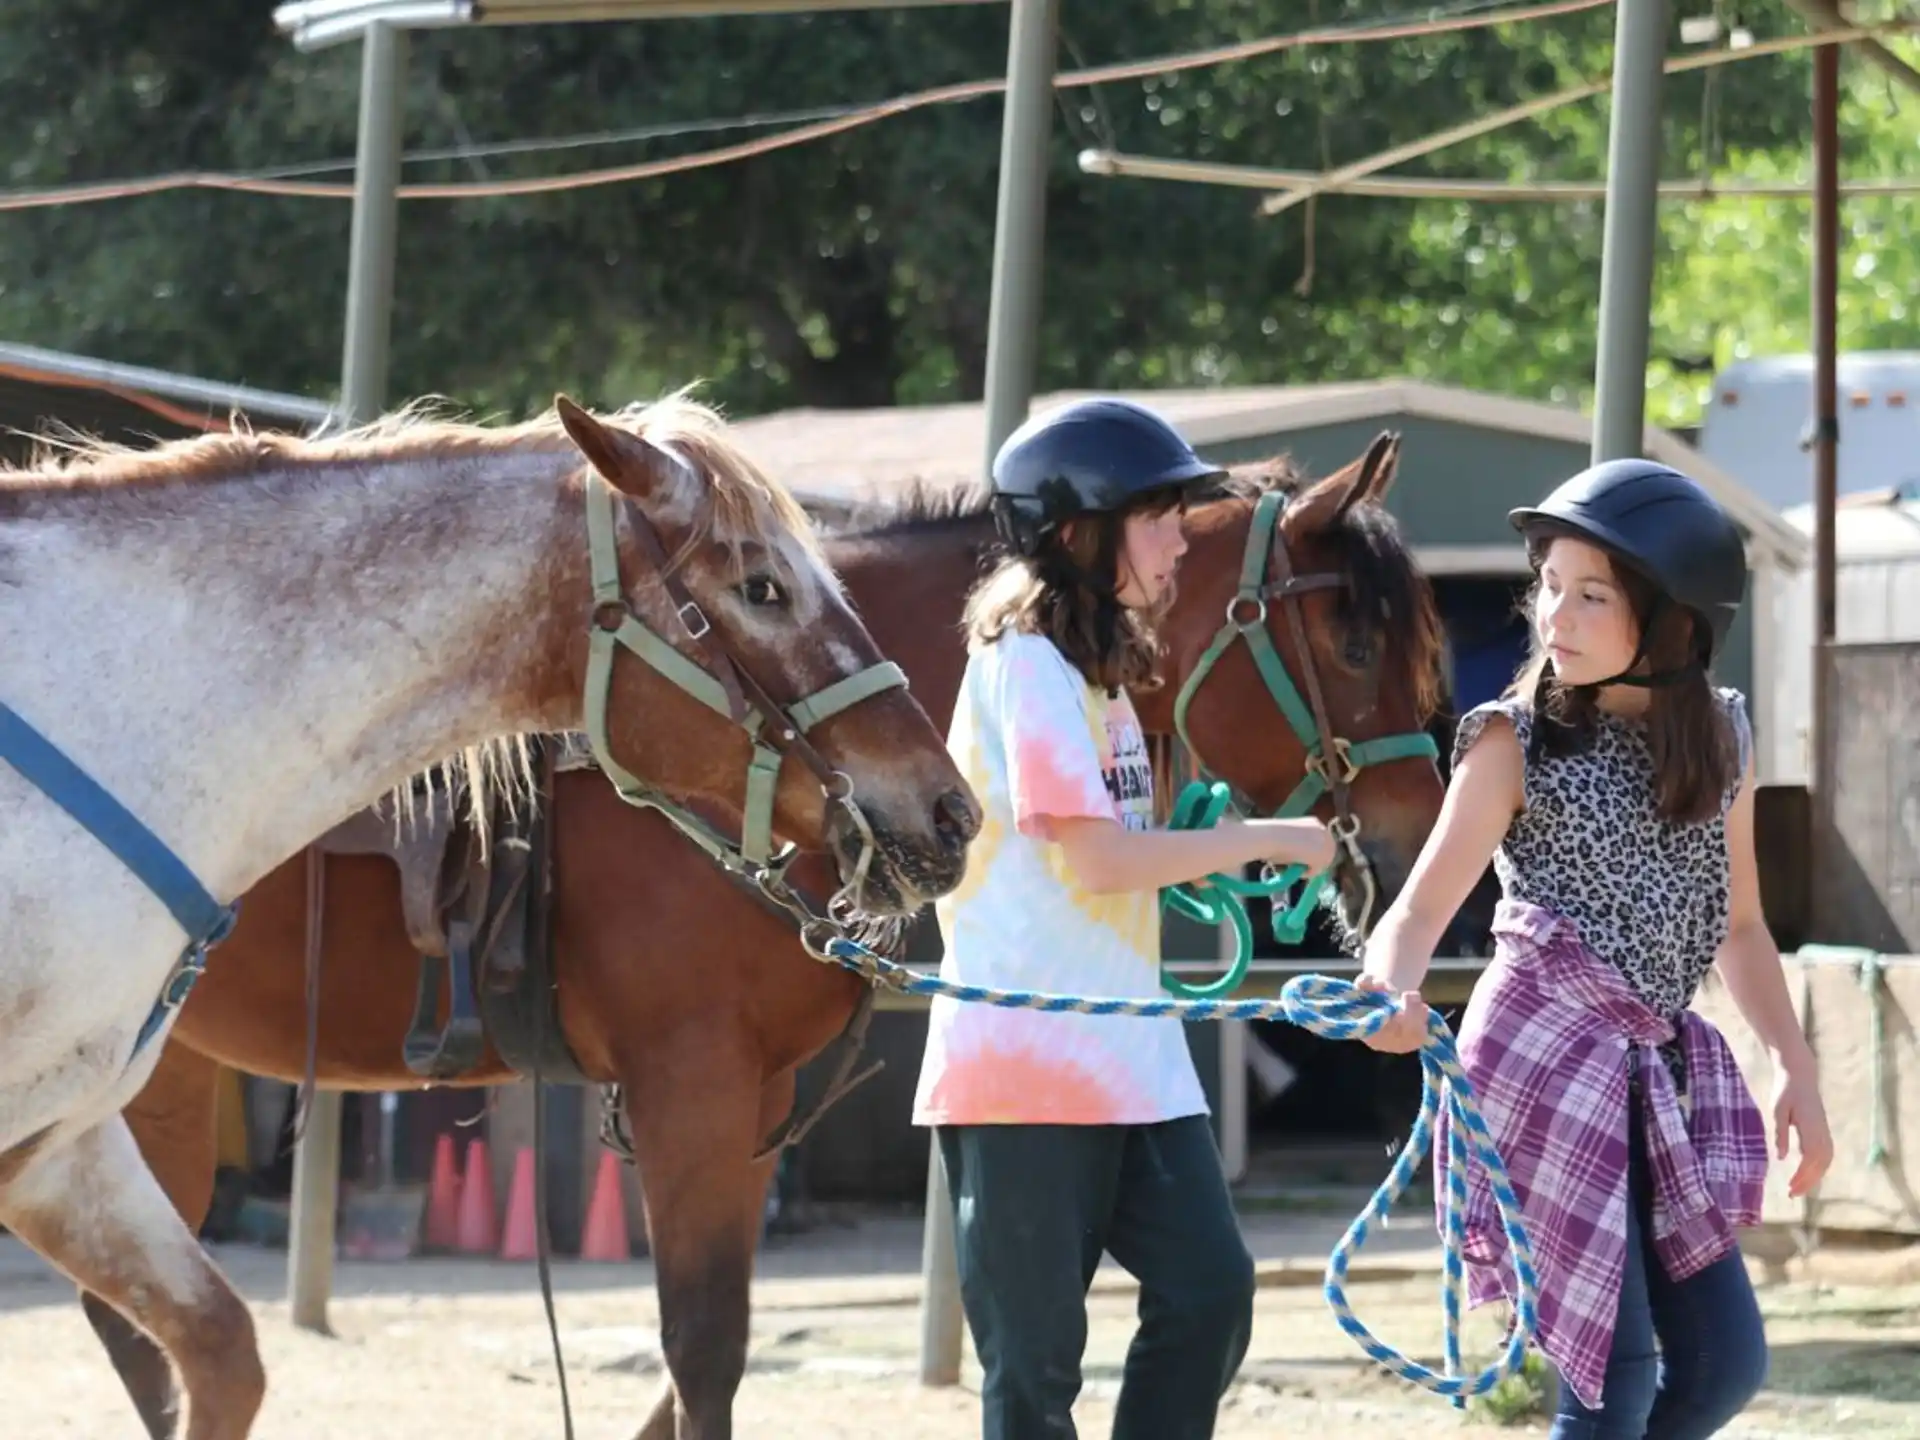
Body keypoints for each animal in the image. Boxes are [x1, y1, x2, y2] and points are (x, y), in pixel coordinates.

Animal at [85, 431, 1451, 1440]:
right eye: (1354, 640)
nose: (1412, 851)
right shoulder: (688, 1085)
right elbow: (703, 1352)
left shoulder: (749, 1102)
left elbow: (699, 1367)